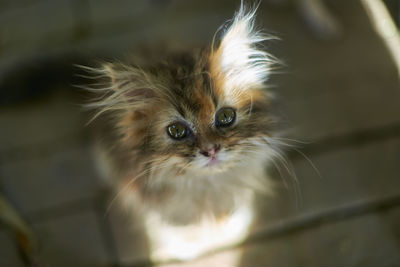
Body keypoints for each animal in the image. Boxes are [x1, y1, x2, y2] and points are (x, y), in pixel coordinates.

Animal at [85, 2, 278, 267]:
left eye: (225, 117)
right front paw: (184, 246)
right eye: (177, 131)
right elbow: (173, 229)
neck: (207, 185)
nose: (211, 150)